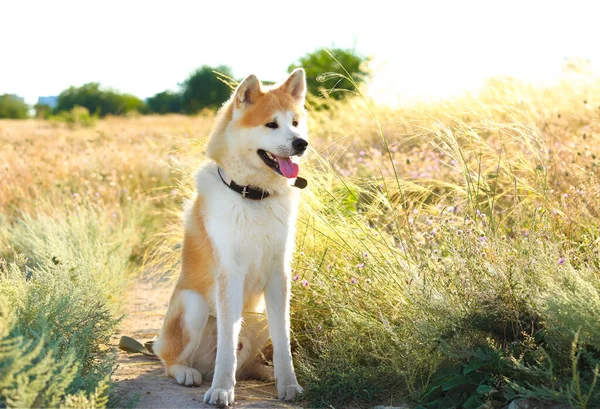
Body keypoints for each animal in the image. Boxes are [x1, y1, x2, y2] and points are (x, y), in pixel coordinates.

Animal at [154, 67, 310, 404]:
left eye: (294, 122)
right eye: (271, 124)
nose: (301, 143)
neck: (254, 196)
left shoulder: (279, 276)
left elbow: (282, 341)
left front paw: (289, 384)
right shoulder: (229, 275)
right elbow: (227, 345)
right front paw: (222, 389)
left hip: (259, 316)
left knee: (248, 363)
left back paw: (264, 373)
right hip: (194, 305)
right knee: (171, 360)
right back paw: (188, 373)